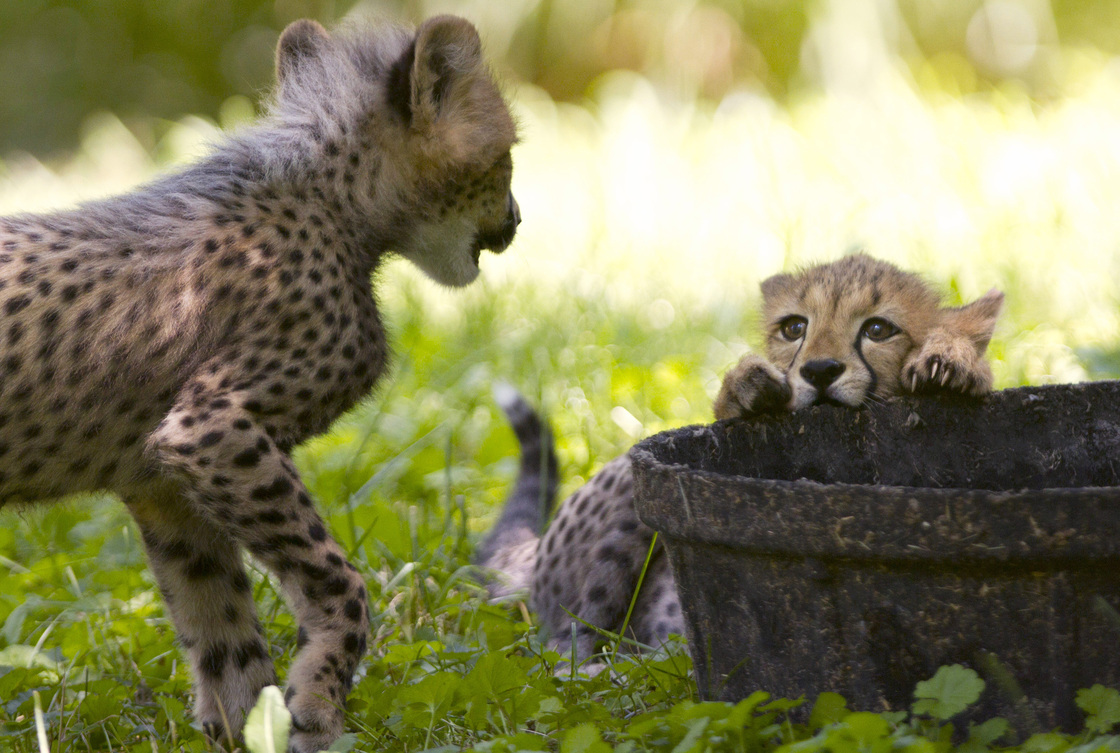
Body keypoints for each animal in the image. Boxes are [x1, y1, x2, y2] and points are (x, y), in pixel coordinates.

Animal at [0, 15, 517, 752]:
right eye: (506, 157)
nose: (516, 220)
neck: (333, 199)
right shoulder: (210, 428)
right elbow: (339, 582)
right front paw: (318, 702)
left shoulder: (163, 485)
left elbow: (222, 630)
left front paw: (255, 720)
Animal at [479, 253, 1003, 665]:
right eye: (794, 327)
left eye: (878, 329)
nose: (819, 370)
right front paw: (751, 385)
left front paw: (948, 362)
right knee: (563, 650)